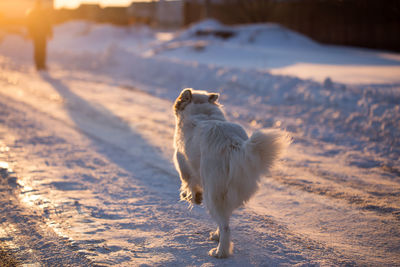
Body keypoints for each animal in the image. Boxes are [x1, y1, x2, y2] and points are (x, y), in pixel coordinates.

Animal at [172, 89, 290, 258]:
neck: (201, 111)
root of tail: (232, 144)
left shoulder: (184, 164)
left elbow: (189, 184)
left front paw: (190, 197)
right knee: (224, 221)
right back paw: (217, 237)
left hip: (212, 193)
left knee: (225, 226)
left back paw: (220, 252)